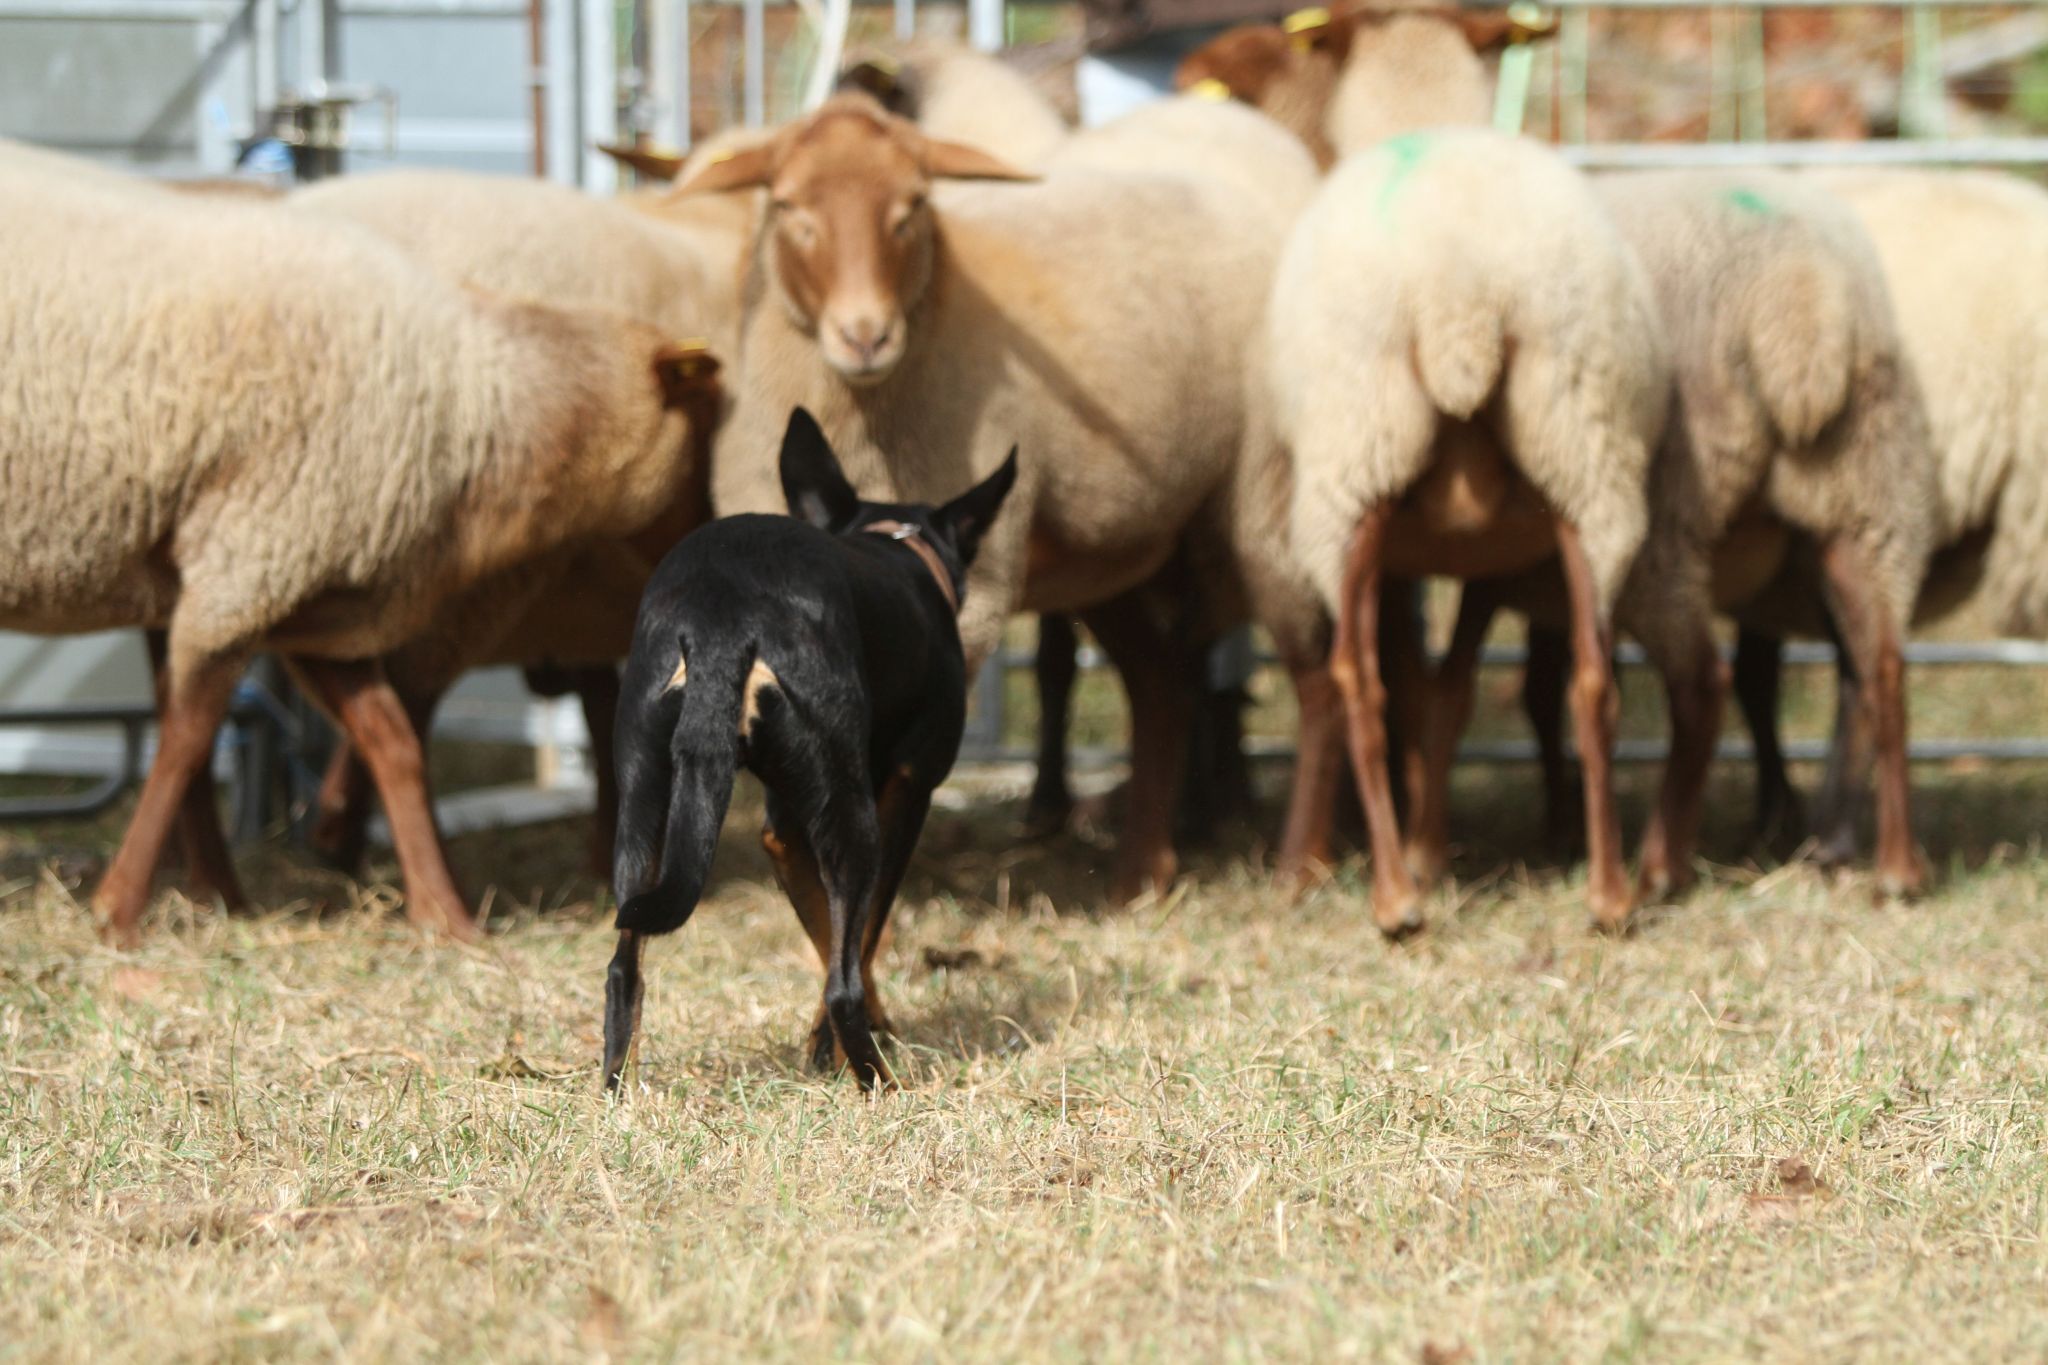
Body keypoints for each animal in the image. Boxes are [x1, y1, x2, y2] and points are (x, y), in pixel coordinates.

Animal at [0, 141, 714, 945]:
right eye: (706, 420)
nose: (716, 524)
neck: (479, 409)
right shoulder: (249, 562)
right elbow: (186, 739)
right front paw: (120, 908)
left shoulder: (319, 597)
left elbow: (391, 739)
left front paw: (444, 915)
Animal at [672, 94, 1324, 902]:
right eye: (789, 204)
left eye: (913, 206)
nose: (866, 337)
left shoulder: (966, 603)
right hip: (1114, 545)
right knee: (1162, 682)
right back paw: (1141, 872)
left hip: (1266, 495)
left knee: (1325, 674)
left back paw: (1303, 866)